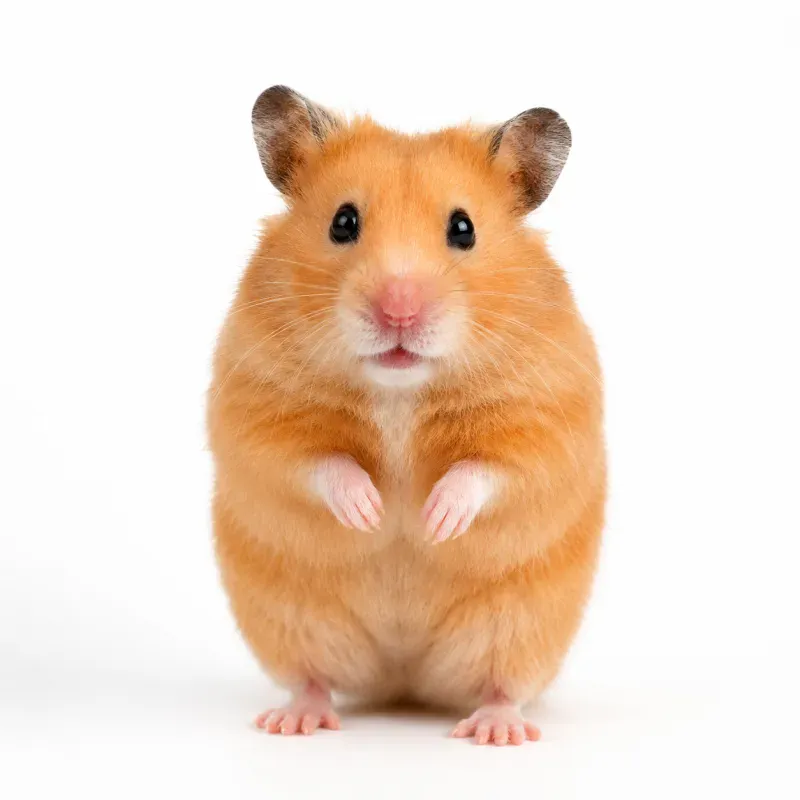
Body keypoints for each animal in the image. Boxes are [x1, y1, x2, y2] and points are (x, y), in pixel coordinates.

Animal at [208, 85, 605, 745]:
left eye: (464, 229)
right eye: (343, 222)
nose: (399, 312)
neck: (399, 389)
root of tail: (404, 679)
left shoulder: (545, 416)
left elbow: (491, 469)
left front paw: (434, 519)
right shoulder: (256, 407)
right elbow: (313, 461)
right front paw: (370, 511)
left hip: (520, 624)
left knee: (504, 685)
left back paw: (495, 731)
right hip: (291, 619)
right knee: (312, 677)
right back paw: (294, 720)